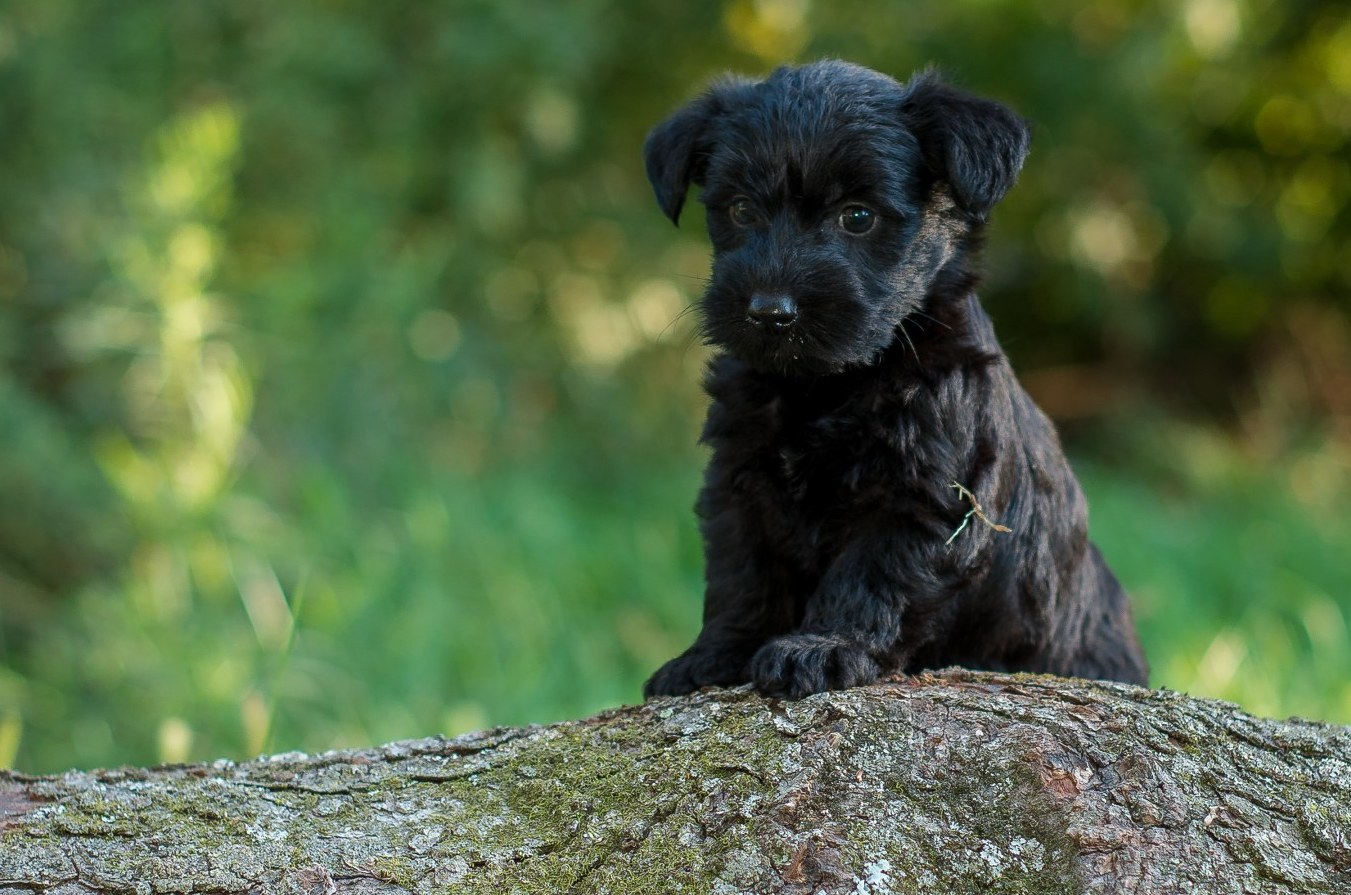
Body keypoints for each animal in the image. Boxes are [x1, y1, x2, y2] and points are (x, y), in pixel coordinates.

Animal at [637, 63, 1145, 703]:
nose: (770, 311)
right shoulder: (738, 484)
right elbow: (743, 576)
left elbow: (872, 577)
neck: (826, 386)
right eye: (741, 210)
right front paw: (711, 656)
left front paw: (822, 648)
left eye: (858, 216)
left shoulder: (927, 496)